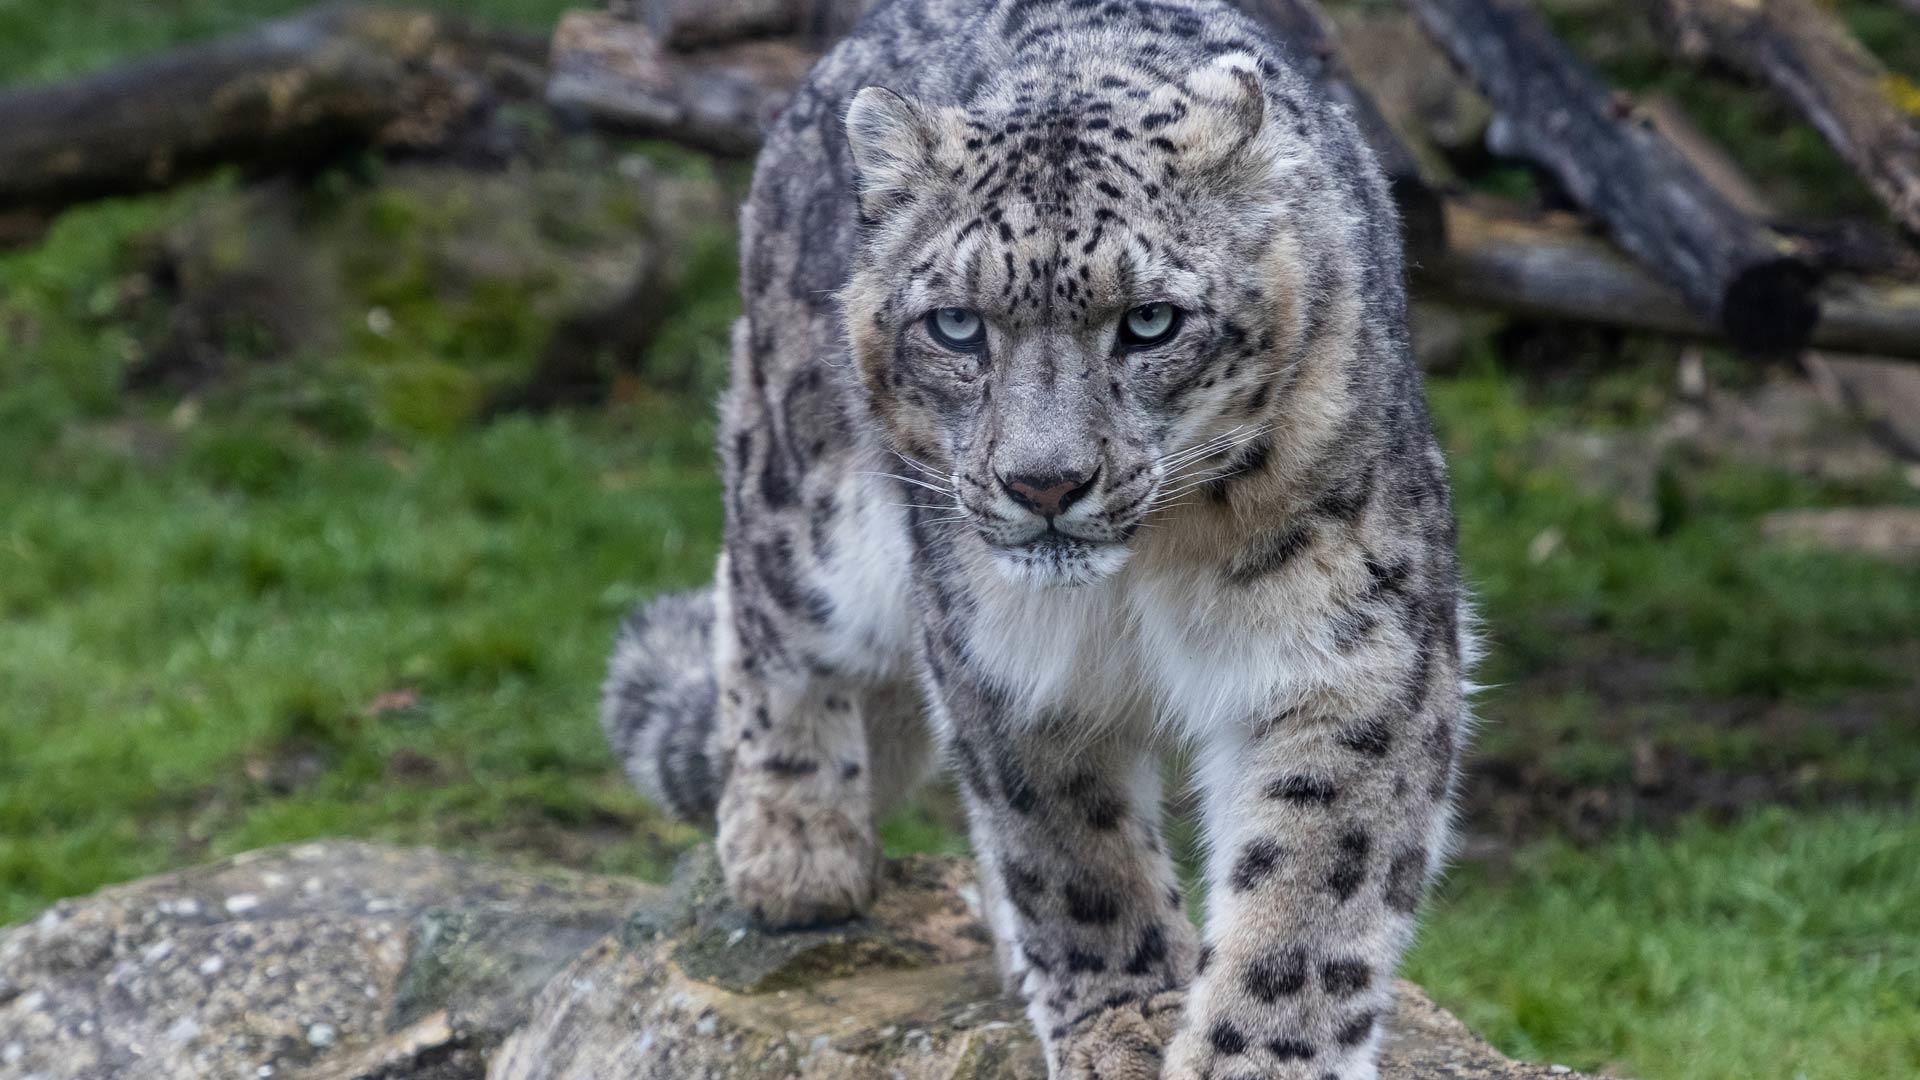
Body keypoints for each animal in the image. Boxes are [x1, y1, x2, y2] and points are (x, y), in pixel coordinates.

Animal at [599, 0, 1466, 1068]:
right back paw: (792, 844)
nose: (1044, 482)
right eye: (957, 326)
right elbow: (1069, 852)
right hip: (809, 502)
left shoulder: (1349, 651)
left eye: (1150, 321)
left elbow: (1313, 882)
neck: (1143, 574)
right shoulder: (1006, 658)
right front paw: (1126, 1022)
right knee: (760, 601)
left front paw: (1253, 1053)